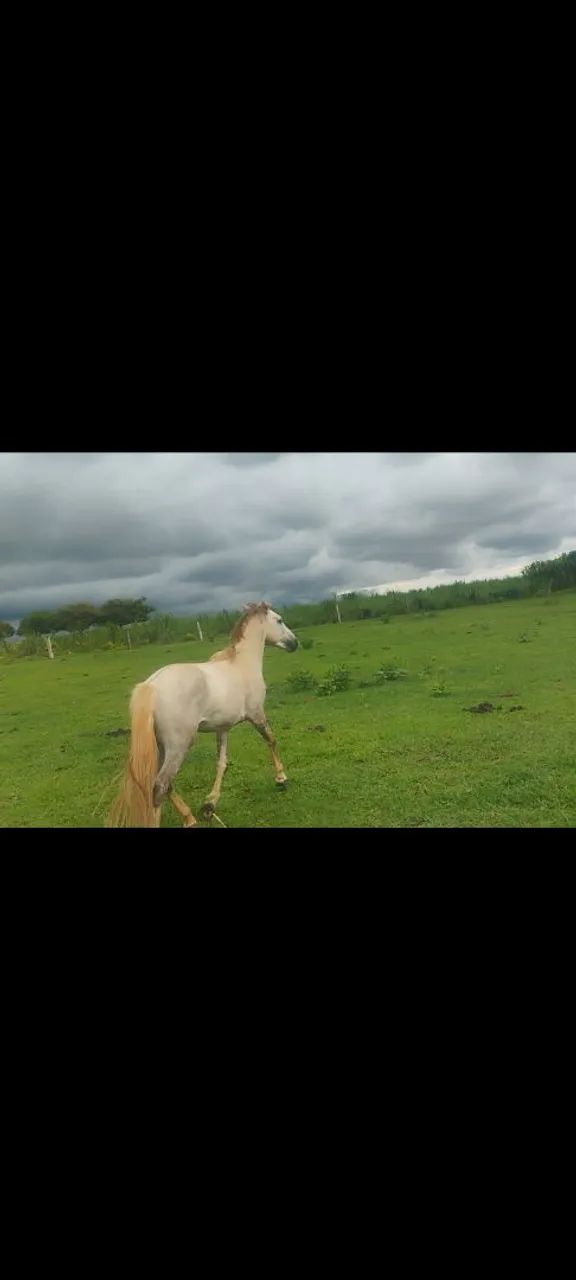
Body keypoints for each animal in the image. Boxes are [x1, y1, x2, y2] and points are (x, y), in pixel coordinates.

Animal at [107, 602, 298, 828]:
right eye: (279, 620)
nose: (294, 643)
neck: (241, 665)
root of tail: (151, 686)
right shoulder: (257, 714)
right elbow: (271, 740)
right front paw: (281, 778)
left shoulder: (223, 728)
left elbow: (222, 763)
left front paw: (210, 805)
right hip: (179, 746)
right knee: (161, 785)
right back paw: (187, 819)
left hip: (160, 747)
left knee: (160, 785)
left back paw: (188, 816)